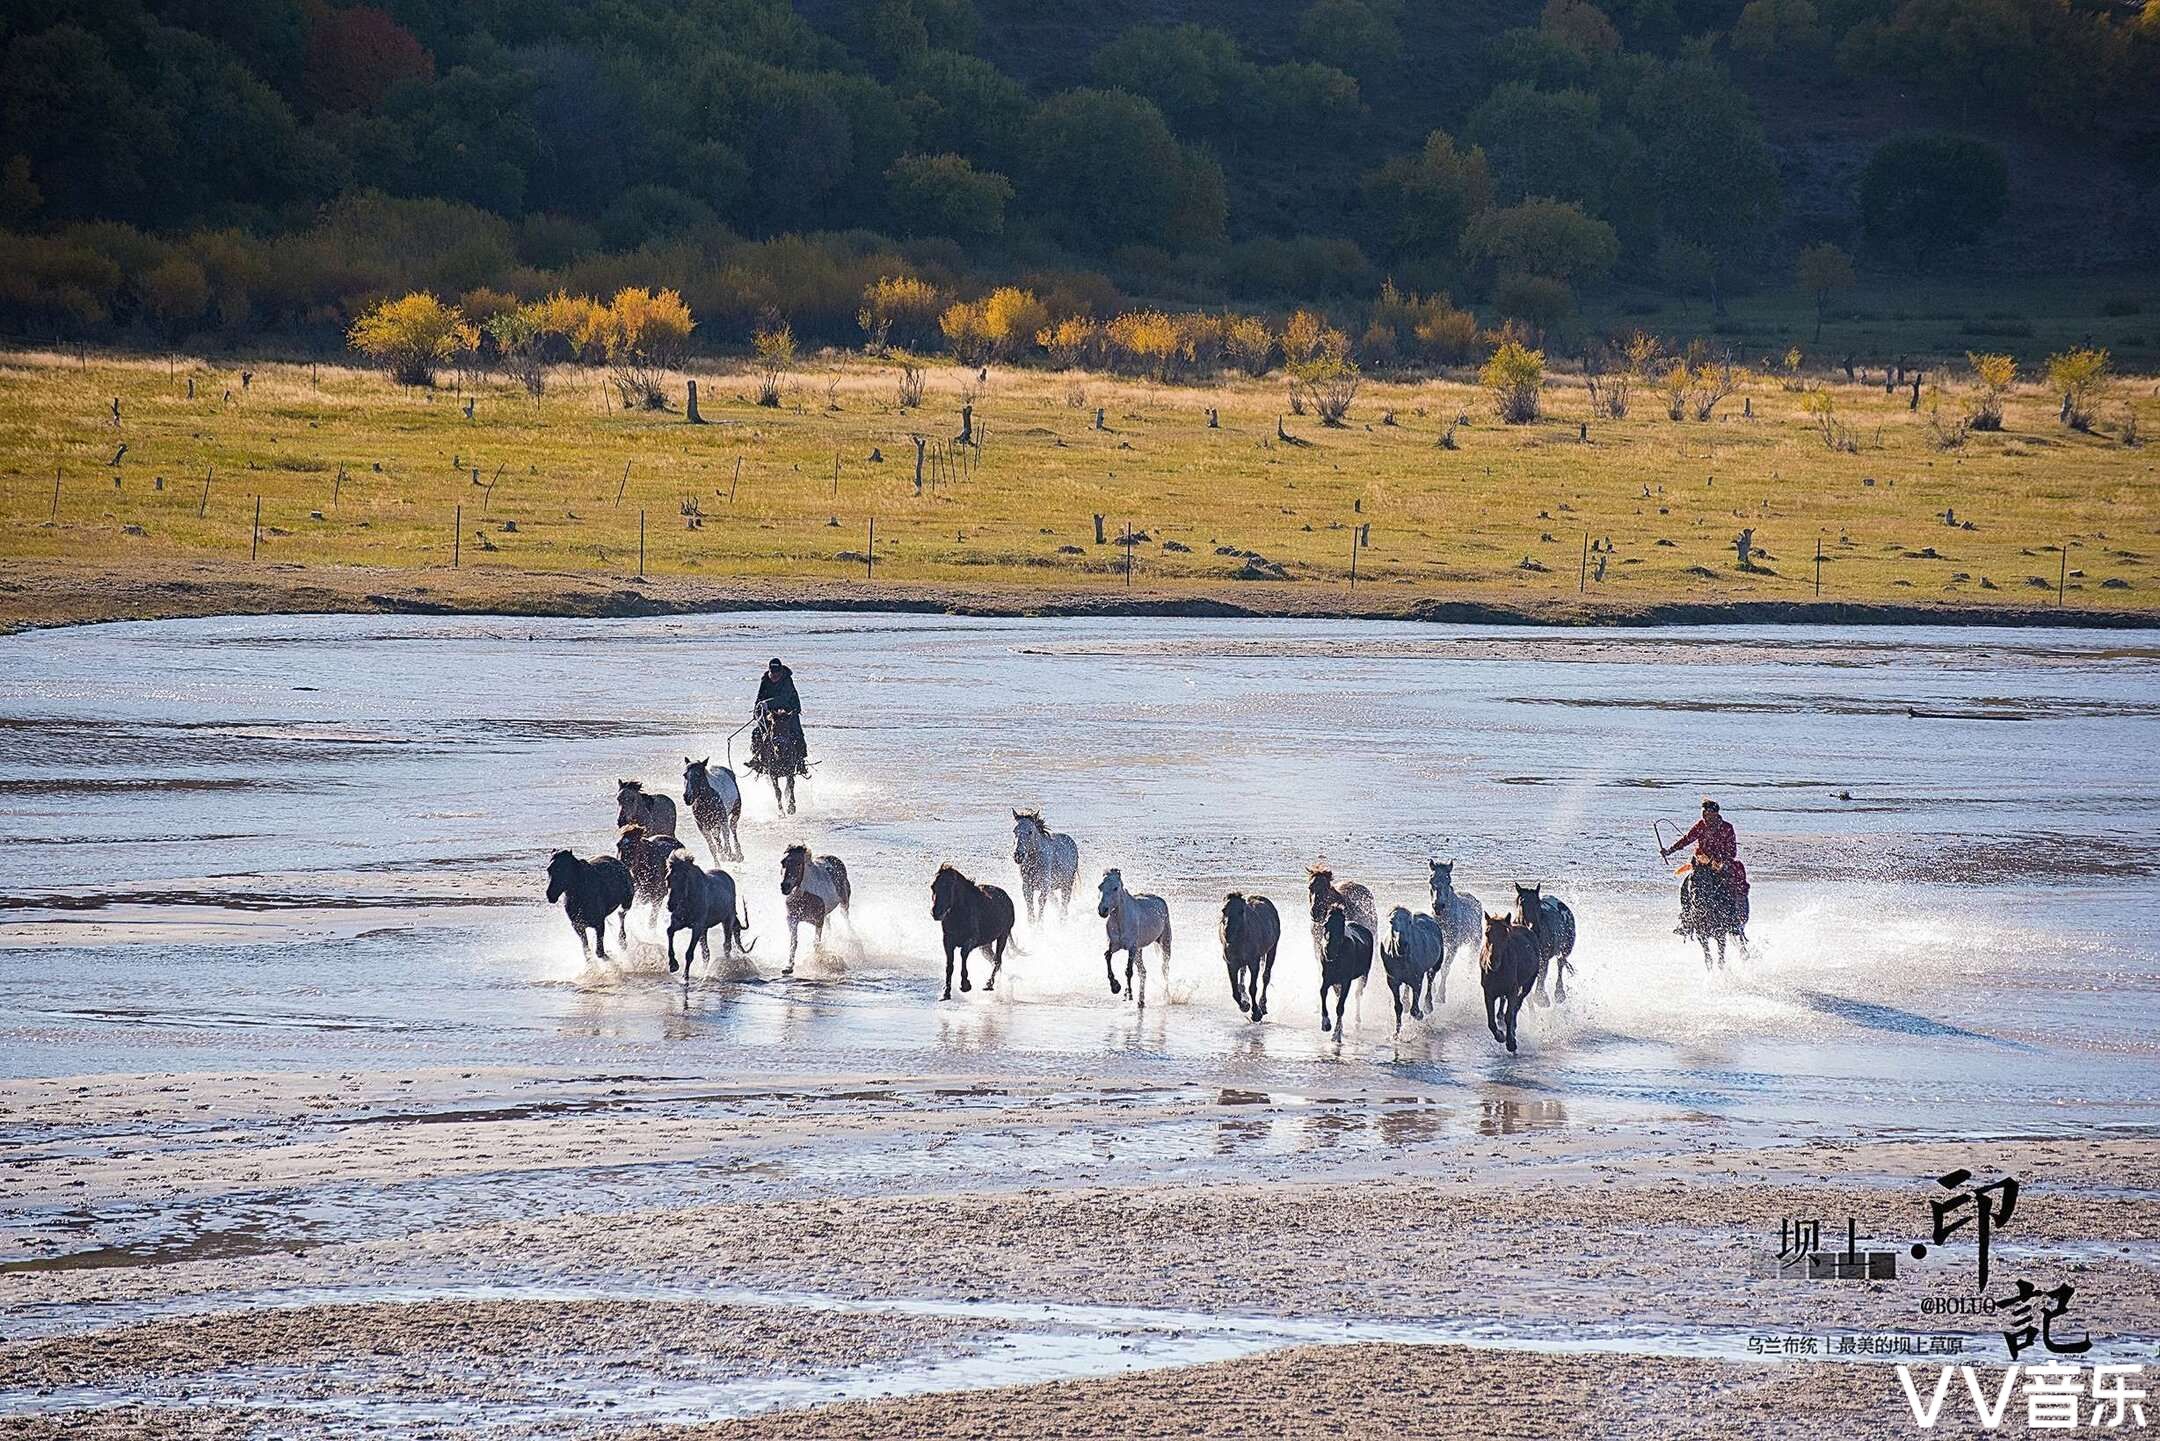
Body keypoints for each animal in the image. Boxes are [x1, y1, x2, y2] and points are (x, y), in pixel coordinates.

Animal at [924, 864, 1015, 998]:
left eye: (948, 886)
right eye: (933, 886)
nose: (936, 912)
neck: (959, 914)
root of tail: (1007, 898)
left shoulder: (971, 940)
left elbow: (963, 954)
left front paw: (965, 985)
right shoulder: (947, 941)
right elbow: (949, 965)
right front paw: (946, 992)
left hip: (1003, 936)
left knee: (997, 960)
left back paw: (989, 984)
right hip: (985, 945)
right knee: (995, 960)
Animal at [1105, 872, 1175, 1011]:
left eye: (1115, 888)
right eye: (1101, 887)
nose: (1102, 910)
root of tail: (1160, 900)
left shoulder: (1132, 947)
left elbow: (1128, 970)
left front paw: (1127, 993)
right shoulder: (1115, 945)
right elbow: (1107, 956)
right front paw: (1115, 986)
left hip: (1165, 942)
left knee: (1164, 968)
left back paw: (1166, 996)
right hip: (1139, 950)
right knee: (1143, 971)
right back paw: (1141, 1001)